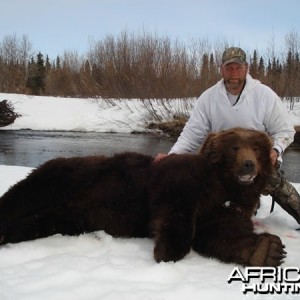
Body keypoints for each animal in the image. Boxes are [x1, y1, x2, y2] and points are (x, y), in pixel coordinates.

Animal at [0, 127, 286, 266]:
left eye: (257, 149)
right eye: (235, 148)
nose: (248, 165)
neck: (222, 185)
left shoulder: (225, 207)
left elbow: (223, 232)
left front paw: (268, 250)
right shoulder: (181, 178)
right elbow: (175, 207)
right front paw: (167, 250)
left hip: (69, 217)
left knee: (37, 222)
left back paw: (6, 234)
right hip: (69, 175)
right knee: (25, 193)